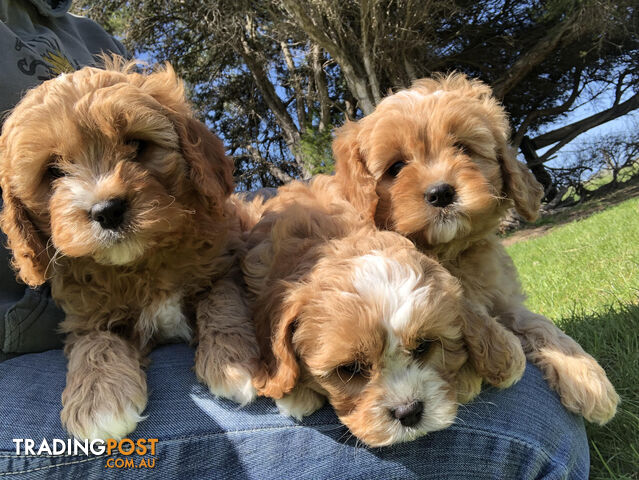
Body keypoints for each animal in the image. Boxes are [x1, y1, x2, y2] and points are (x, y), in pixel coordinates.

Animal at [0, 58, 260, 440]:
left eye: (137, 144)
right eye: (53, 171)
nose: (107, 210)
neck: (141, 262)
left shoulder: (224, 263)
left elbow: (223, 301)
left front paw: (234, 362)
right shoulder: (86, 316)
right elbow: (95, 342)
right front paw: (99, 402)